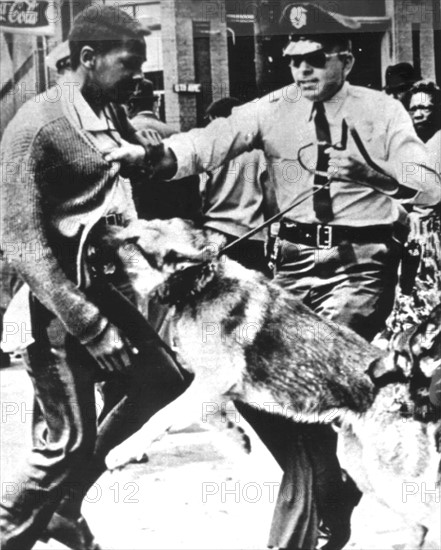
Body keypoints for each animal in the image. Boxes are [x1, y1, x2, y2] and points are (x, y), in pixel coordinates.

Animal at [104, 219, 440, 548]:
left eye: (132, 241)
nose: (99, 234)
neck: (200, 284)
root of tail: (412, 383)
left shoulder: (211, 381)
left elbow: (158, 417)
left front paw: (123, 450)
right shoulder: (210, 391)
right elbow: (219, 427)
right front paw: (240, 443)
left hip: (388, 476)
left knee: (428, 517)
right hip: (364, 469)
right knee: (418, 524)